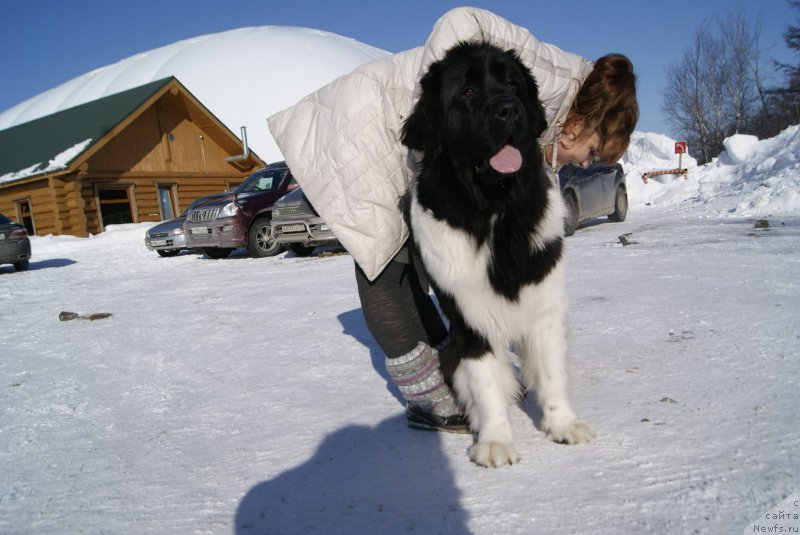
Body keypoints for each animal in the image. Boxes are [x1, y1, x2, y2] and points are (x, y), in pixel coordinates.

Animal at [404, 42, 592, 466]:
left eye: (511, 84)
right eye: (468, 91)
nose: (509, 110)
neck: (495, 210)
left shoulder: (544, 301)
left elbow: (552, 370)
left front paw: (562, 424)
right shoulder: (469, 317)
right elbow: (486, 382)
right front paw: (495, 441)